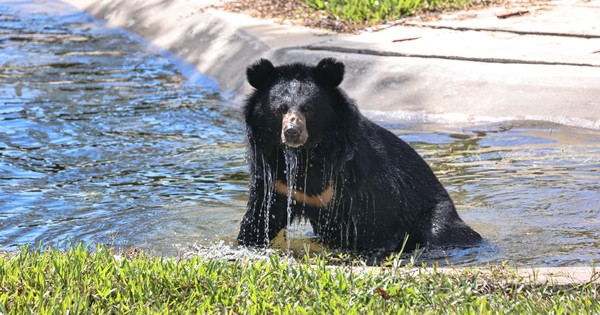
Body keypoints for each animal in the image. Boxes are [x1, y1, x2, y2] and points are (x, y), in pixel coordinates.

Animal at [237, 57, 480, 256]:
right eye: (281, 109)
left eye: (308, 109)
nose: (292, 132)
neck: (309, 152)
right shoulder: (275, 180)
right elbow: (259, 218)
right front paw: (244, 246)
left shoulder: (359, 177)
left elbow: (373, 222)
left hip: (435, 214)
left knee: (441, 230)